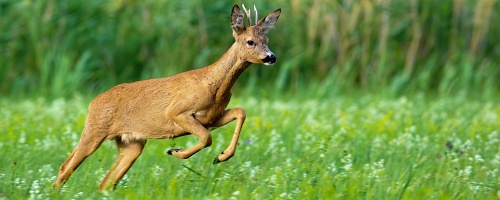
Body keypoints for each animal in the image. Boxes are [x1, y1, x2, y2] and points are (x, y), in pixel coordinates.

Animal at [54, 4, 282, 191]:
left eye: (267, 40)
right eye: (250, 41)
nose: (271, 57)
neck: (214, 86)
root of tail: (93, 102)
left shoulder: (212, 117)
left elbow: (240, 112)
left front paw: (221, 156)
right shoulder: (177, 112)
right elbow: (206, 138)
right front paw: (176, 151)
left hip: (131, 144)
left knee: (105, 182)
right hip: (95, 130)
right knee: (66, 167)